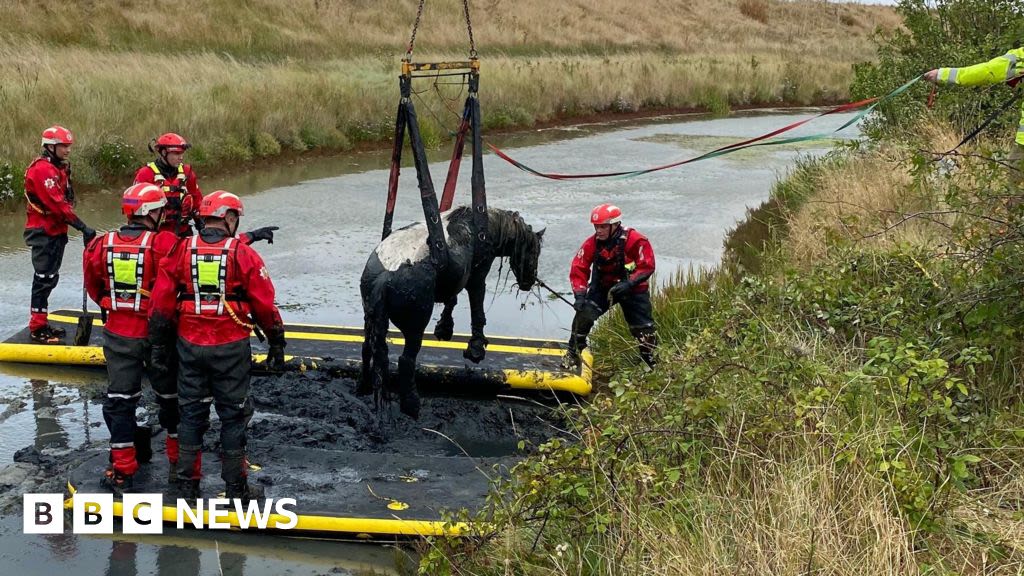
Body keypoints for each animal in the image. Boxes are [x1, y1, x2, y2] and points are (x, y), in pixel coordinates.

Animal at [358, 206, 544, 416]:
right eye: (534, 251)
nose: (529, 281)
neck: (482, 226)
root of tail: (385, 276)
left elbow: (451, 300)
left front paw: (444, 328)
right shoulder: (477, 277)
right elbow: (477, 308)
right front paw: (476, 348)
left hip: (370, 319)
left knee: (367, 348)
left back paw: (364, 385)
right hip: (415, 326)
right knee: (406, 360)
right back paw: (411, 404)